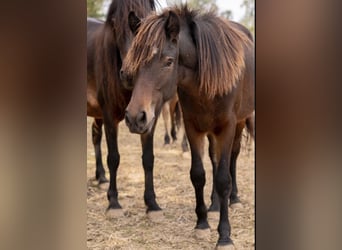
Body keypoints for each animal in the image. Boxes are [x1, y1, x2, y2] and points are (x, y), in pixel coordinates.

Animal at [86, 0, 161, 216]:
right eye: (114, 25)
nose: (128, 74)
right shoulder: (110, 116)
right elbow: (114, 157)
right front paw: (113, 203)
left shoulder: (148, 119)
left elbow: (148, 158)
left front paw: (152, 204)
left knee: (95, 135)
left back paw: (101, 177)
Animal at [120, 5, 254, 248]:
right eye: (133, 61)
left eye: (168, 61)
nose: (135, 117)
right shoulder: (193, 127)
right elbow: (198, 174)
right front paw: (202, 223)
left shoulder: (227, 127)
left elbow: (223, 179)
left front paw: (224, 236)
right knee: (214, 159)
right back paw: (214, 205)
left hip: (239, 123)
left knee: (233, 158)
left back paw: (234, 199)